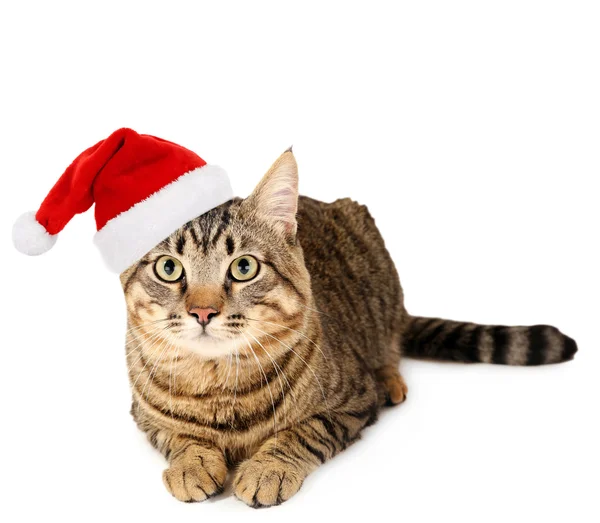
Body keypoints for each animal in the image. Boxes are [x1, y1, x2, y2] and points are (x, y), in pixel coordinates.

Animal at [122, 149, 576, 510]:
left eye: (244, 267)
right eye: (169, 269)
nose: (202, 311)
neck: (218, 384)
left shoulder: (352, 401)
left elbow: (303, 432)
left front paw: (268, 468)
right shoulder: (142, 416)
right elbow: (177, 435)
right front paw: (193, 463)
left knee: (389, 345)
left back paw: (391, 378)